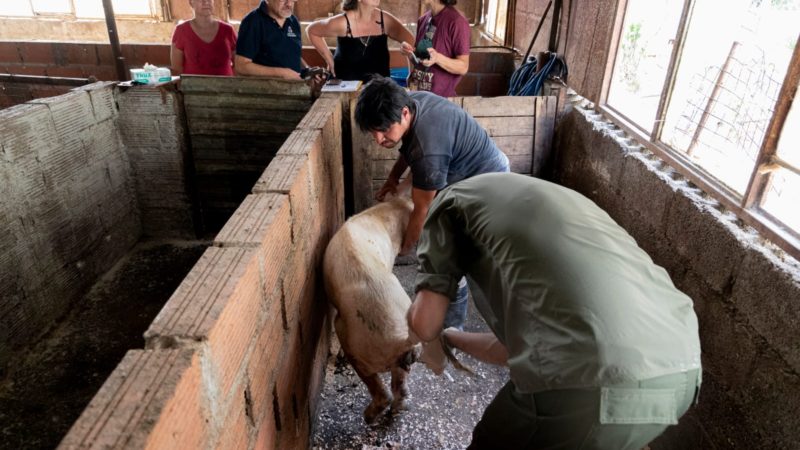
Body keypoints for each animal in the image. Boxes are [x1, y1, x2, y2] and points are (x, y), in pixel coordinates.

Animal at [320, 192, 416, 424]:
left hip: (354, 340)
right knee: (400, 384)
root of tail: (402, 340)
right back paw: (398, 409)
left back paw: (368, 417)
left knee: (379, 388)